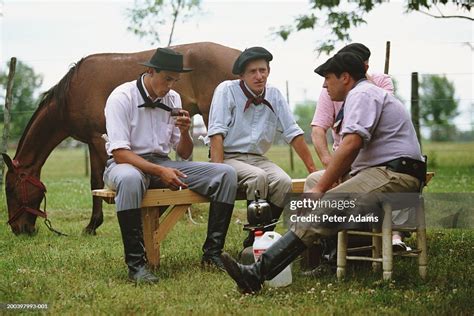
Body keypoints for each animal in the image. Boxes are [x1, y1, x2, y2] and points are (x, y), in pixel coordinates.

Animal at [2, 41, 241, 235]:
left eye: (10, 189)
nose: (19, 229)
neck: (71, 95)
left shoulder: (99, 140)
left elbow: (99, 180)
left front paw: (92, 225)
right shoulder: (94, 141)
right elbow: (97, 180)